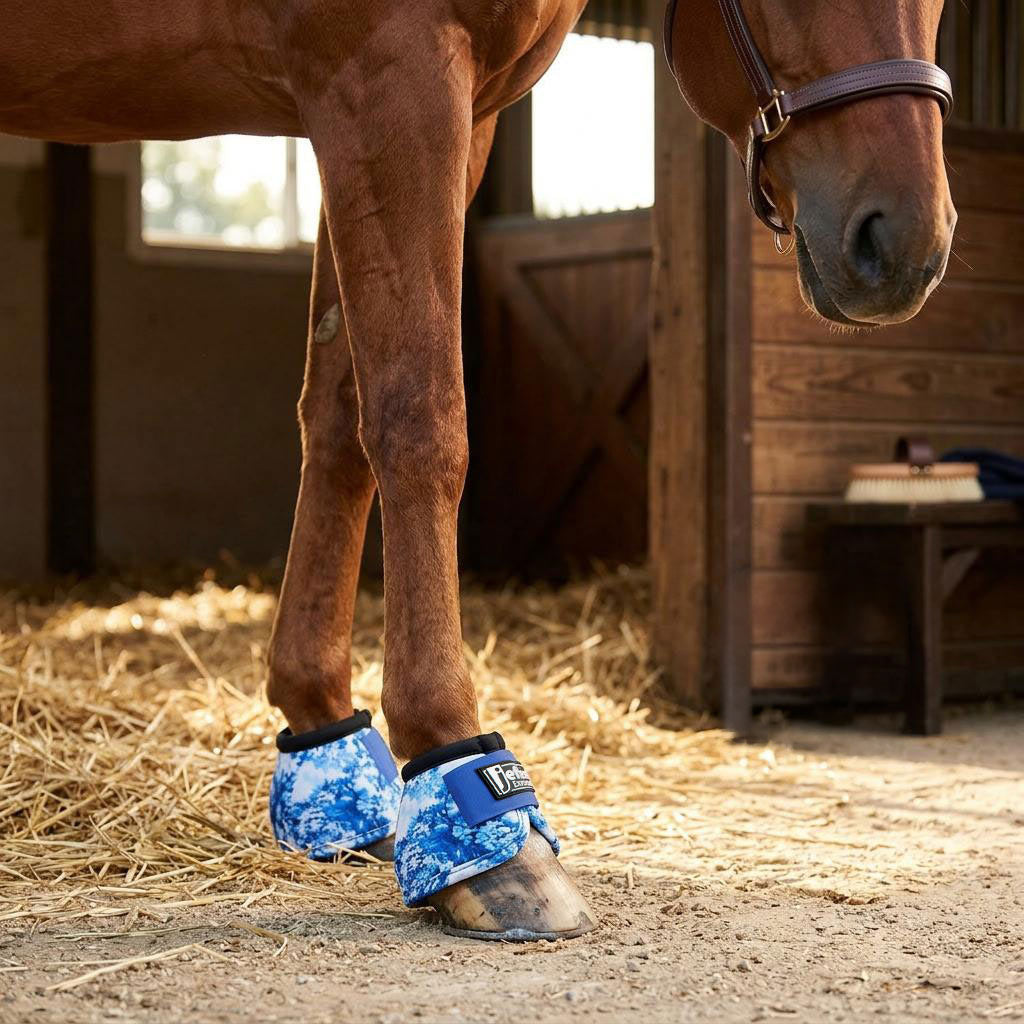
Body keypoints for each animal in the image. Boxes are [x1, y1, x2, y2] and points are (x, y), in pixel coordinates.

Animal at [2, 0, 953, 940]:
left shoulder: (425, 112)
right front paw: (469, 797)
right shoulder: (391, 71)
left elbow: (342, 414)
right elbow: (419, 417)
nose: (909, 248)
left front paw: (326, 751)